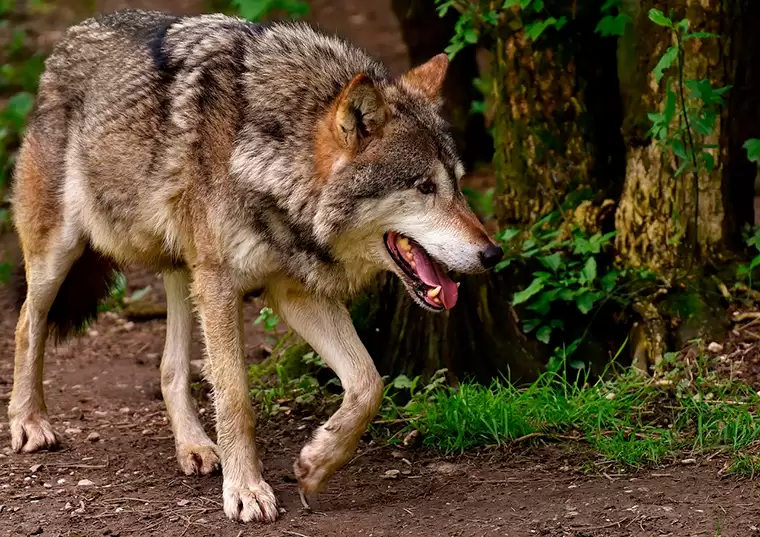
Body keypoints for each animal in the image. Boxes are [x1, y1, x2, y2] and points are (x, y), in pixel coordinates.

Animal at [8, 10, 504, 520]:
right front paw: (246, 490)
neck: (270, 159)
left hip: (184, 271)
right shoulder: (223, 286)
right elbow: (235, 399)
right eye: (425, 187)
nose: (493, 254)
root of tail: (69, 38)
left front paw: (316, 464)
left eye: (458, 185)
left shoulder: (296, 293)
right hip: (61, 255)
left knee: (170, 367)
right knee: (28, 323)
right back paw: (29, 423)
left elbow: (369, 384)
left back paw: (194, 447)